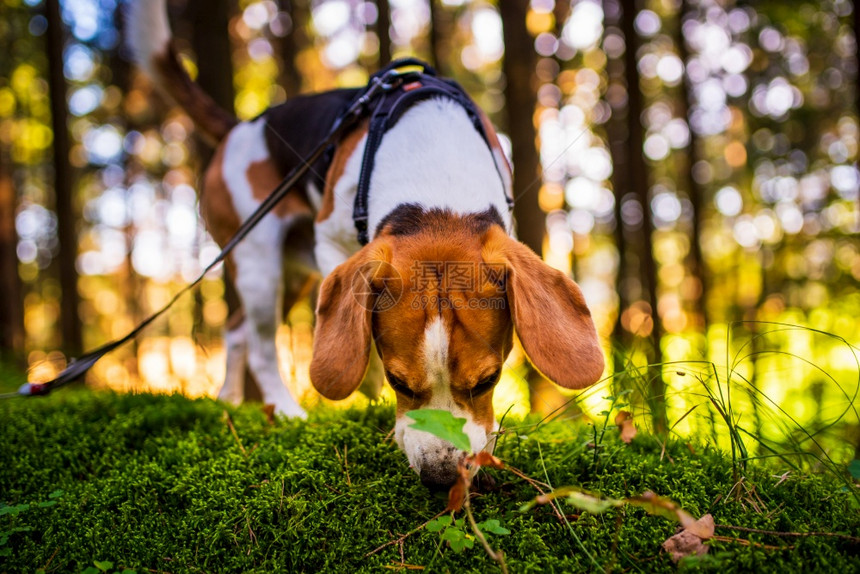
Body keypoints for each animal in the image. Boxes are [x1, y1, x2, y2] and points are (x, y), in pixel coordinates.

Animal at [129, 0, 604, 490]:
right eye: (401, 383)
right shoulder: (333, 245)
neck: (435, 185)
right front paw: (370, 390)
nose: (440, 477)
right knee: (259, 343)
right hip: (259, 258)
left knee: (237, 328)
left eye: (488, 381)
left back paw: (229, 401)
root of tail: (241, 127)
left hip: (294, 275)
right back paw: (286, 410)